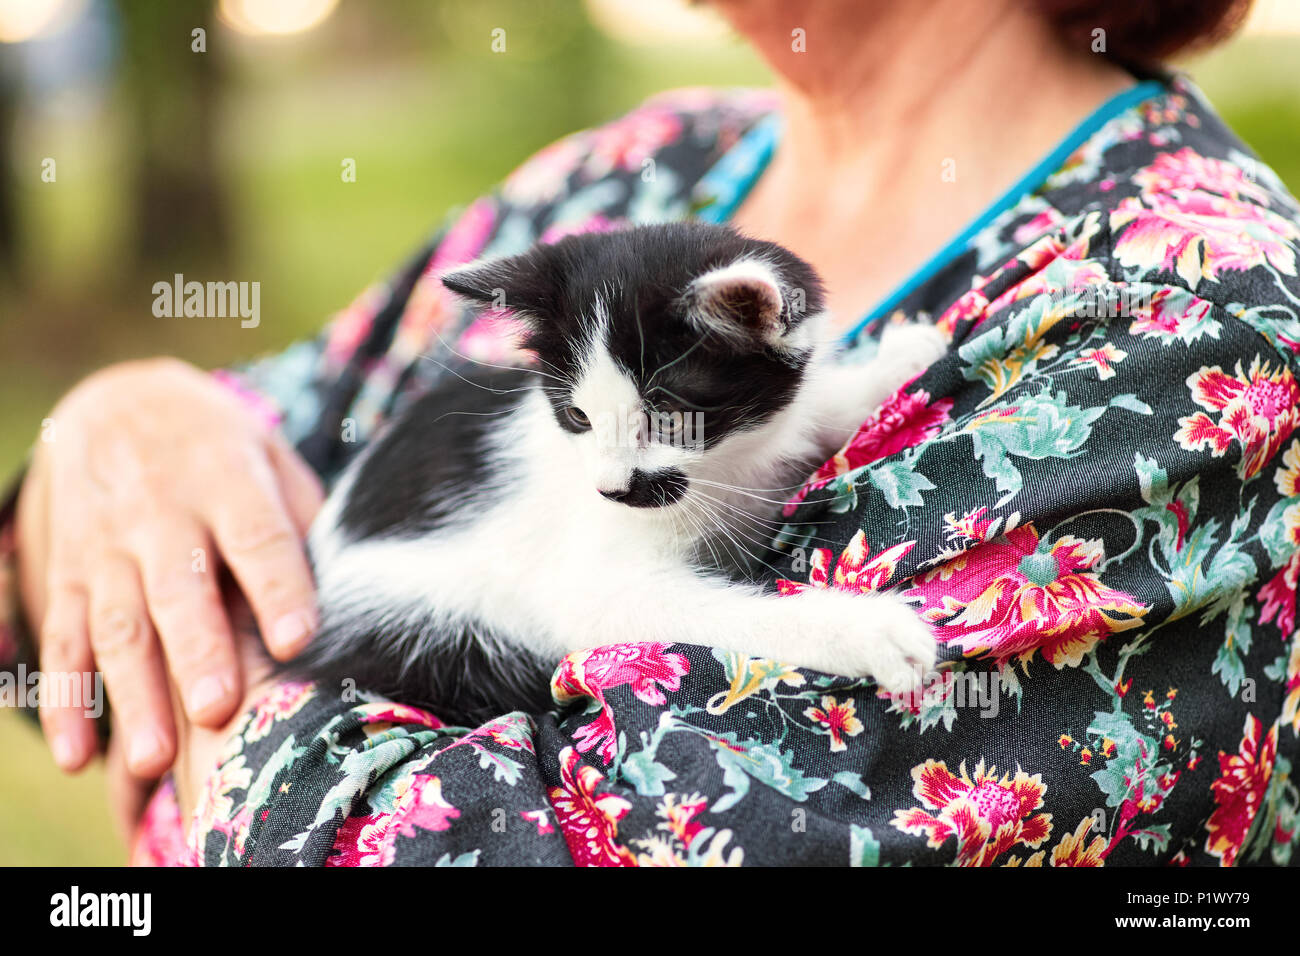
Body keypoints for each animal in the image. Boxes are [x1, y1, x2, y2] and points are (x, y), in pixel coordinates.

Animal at [292, 221, 946, 723]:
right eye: (577, 416)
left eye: (670, 416)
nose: (610, 488)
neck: (729, 468)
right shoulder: (592, 585)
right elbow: (693, 612)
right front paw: (862, 631)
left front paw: (892, 366)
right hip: (433, 629)